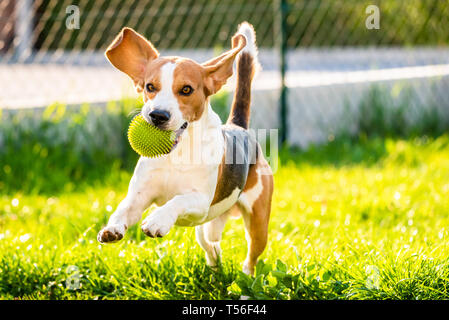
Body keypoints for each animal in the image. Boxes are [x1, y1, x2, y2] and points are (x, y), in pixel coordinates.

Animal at [98, 21, 272, 276]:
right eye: (150, 86)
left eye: (187, 90)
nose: (158, 115)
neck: (175, 155)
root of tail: (238, 127)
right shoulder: (140, 195)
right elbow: (124, 207)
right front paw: (112, 227)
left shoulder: (199, 200)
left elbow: (177, 201)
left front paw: (157, 220)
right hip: (205, 230)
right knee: (212, 247)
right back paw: (215, 269)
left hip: (258, 225)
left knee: (250, 258)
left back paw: (245, 279)